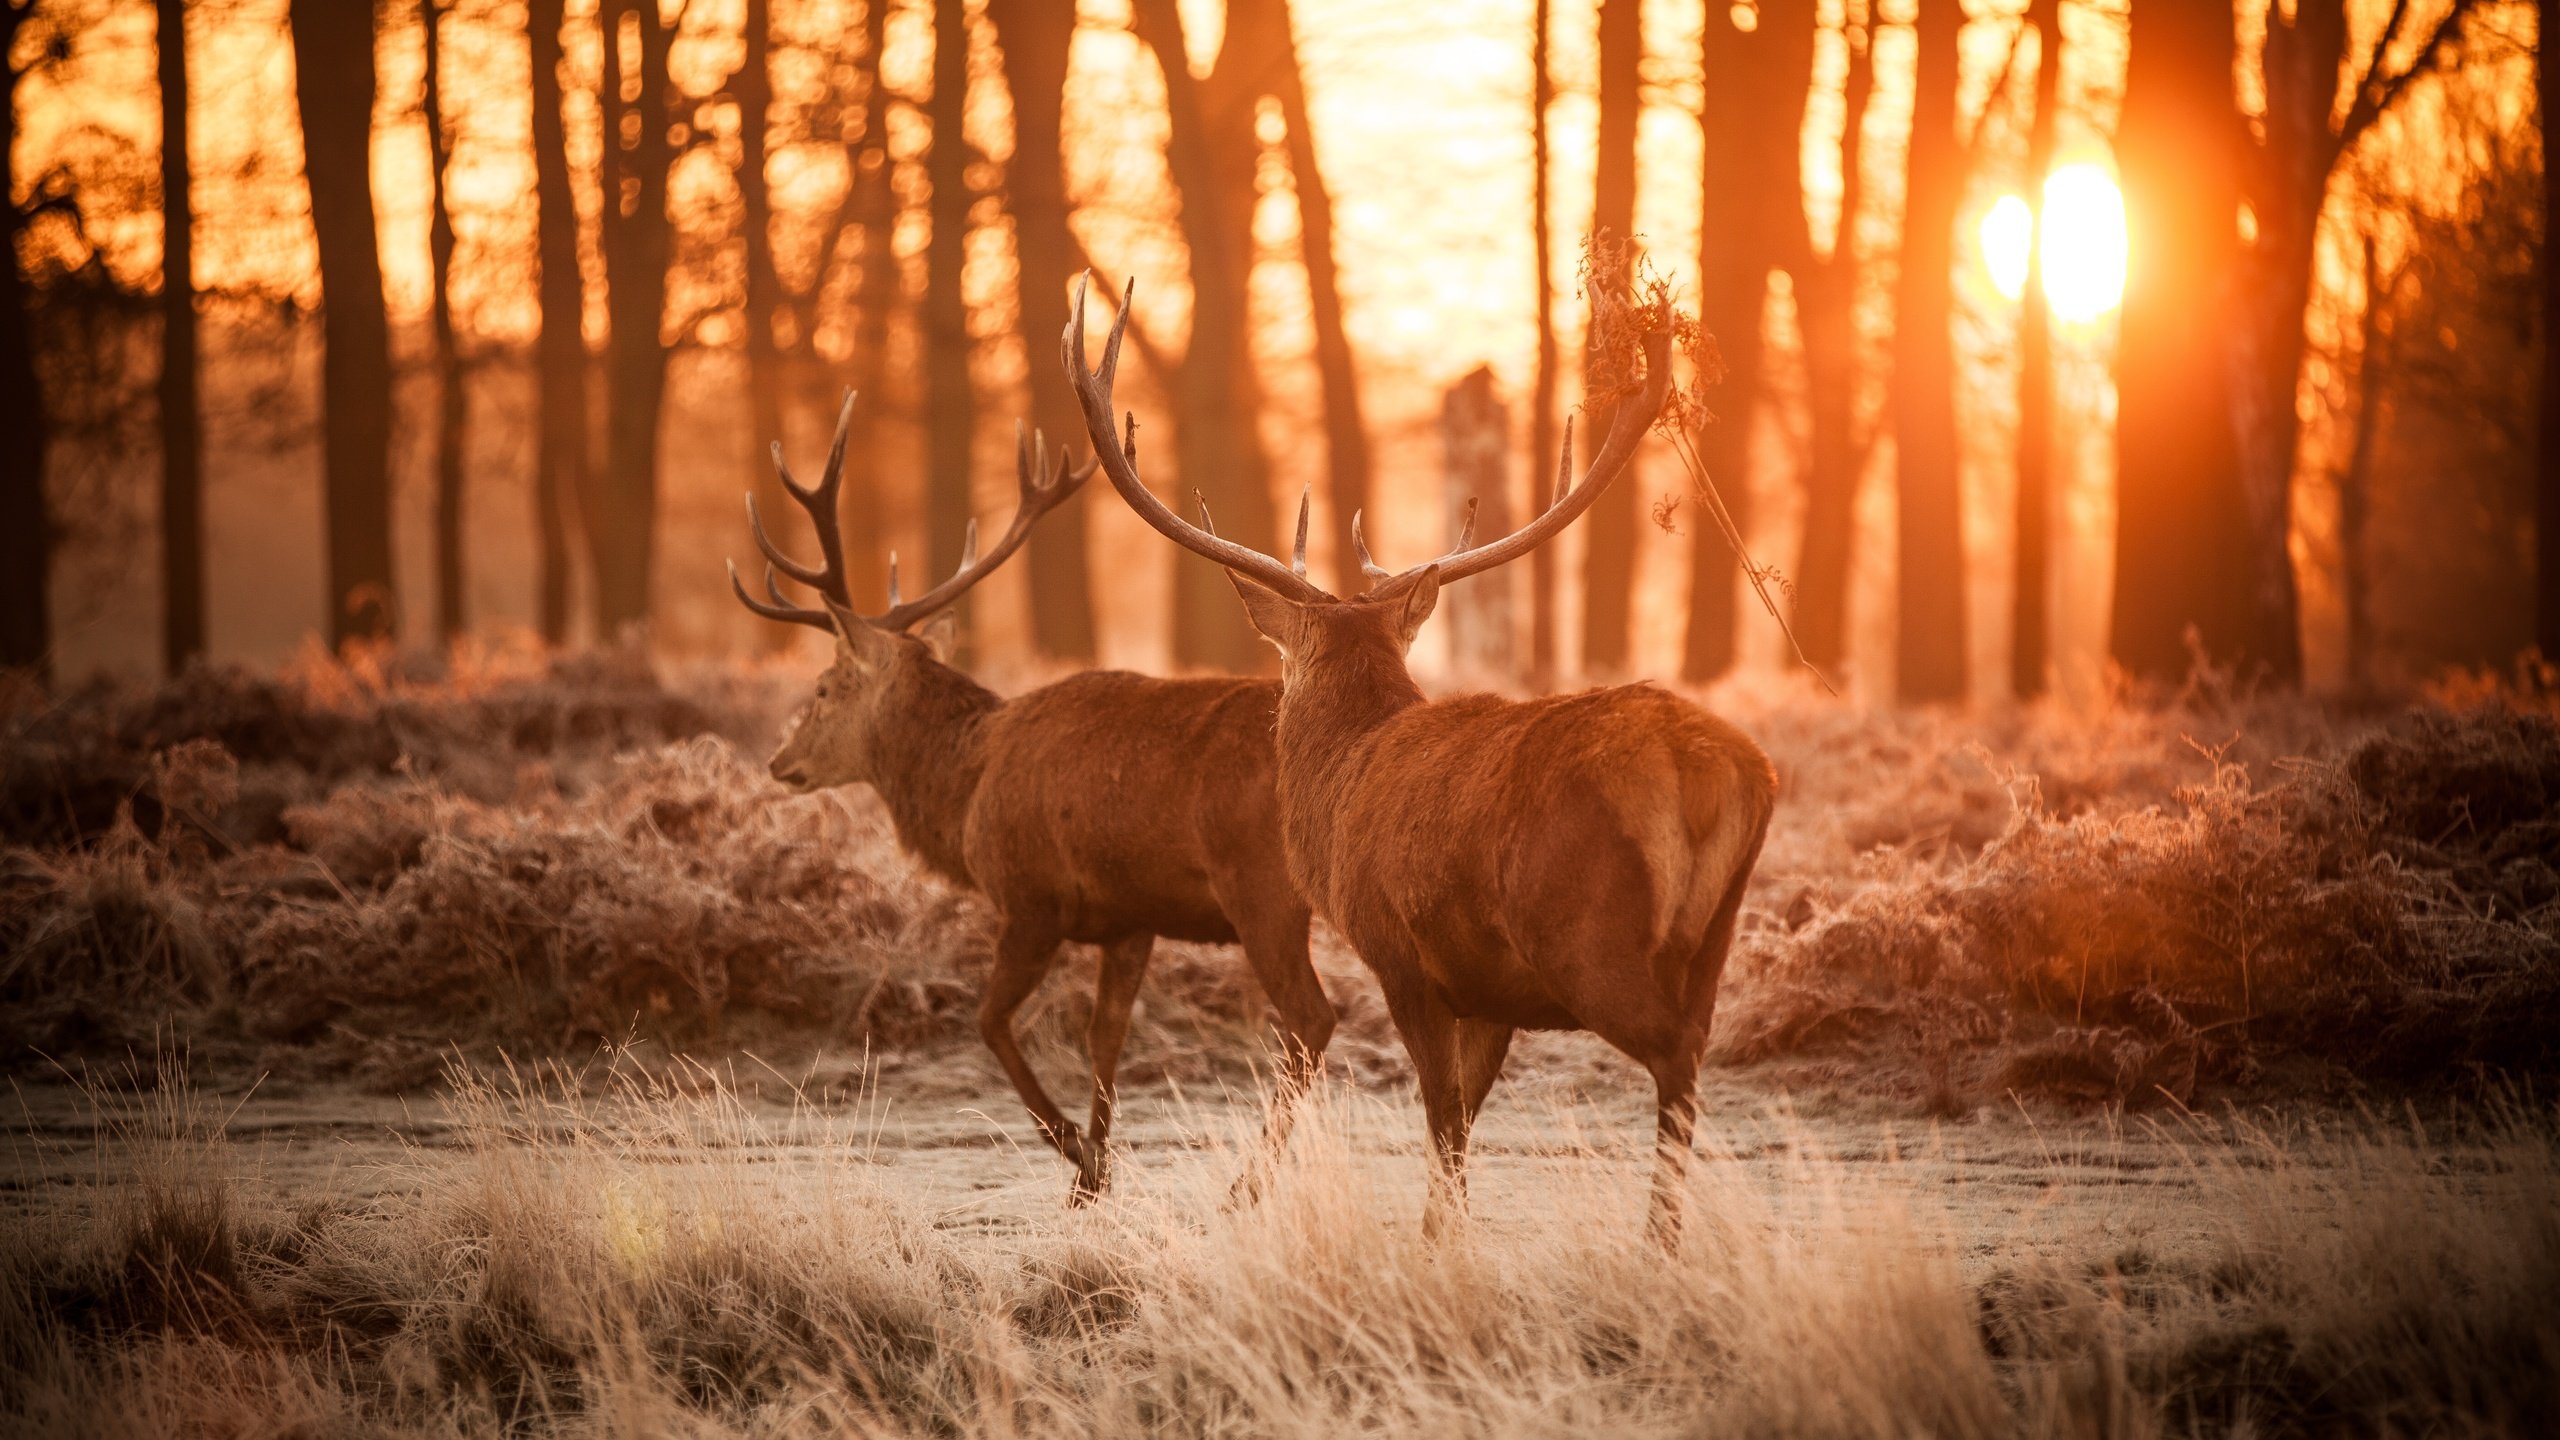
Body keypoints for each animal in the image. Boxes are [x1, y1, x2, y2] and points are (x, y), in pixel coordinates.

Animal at [732, 392, 1341, 1199]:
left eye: (825, 687)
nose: (780, 761)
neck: (965, 794)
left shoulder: (1031, 897)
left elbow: (990, 1022)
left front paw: (1074, 1149)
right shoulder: (1129, 917)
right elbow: (1104, 1037)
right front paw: (1095, 1172)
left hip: (1263, 890)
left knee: (1311, 1018)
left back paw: (1251, 1183)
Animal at [1054, 274, 1761, 1240]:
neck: (1341, 779)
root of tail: (1711, 771)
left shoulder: (1400, 953)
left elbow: (1441, 1116)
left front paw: (1438, 1245)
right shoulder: (1489, 990)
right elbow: (1463, 1115)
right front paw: (1440, 1234)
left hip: (1588, 936)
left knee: (1675, 1058)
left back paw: (1657, 1243)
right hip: (1717, 934)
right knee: (1695, 1046)